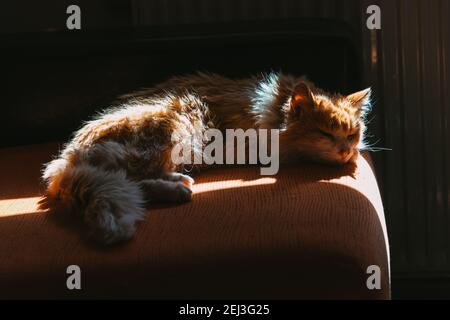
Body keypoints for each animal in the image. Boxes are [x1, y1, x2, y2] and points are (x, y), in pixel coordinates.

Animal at [42, 71, 370, 244]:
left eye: (353, 134)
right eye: (326, 134)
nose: (346, 150)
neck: (278, 109)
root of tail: (67, 161)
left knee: (134, 180)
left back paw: (181, 181)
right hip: (176, 126)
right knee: (133, 178)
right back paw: (178, 189)